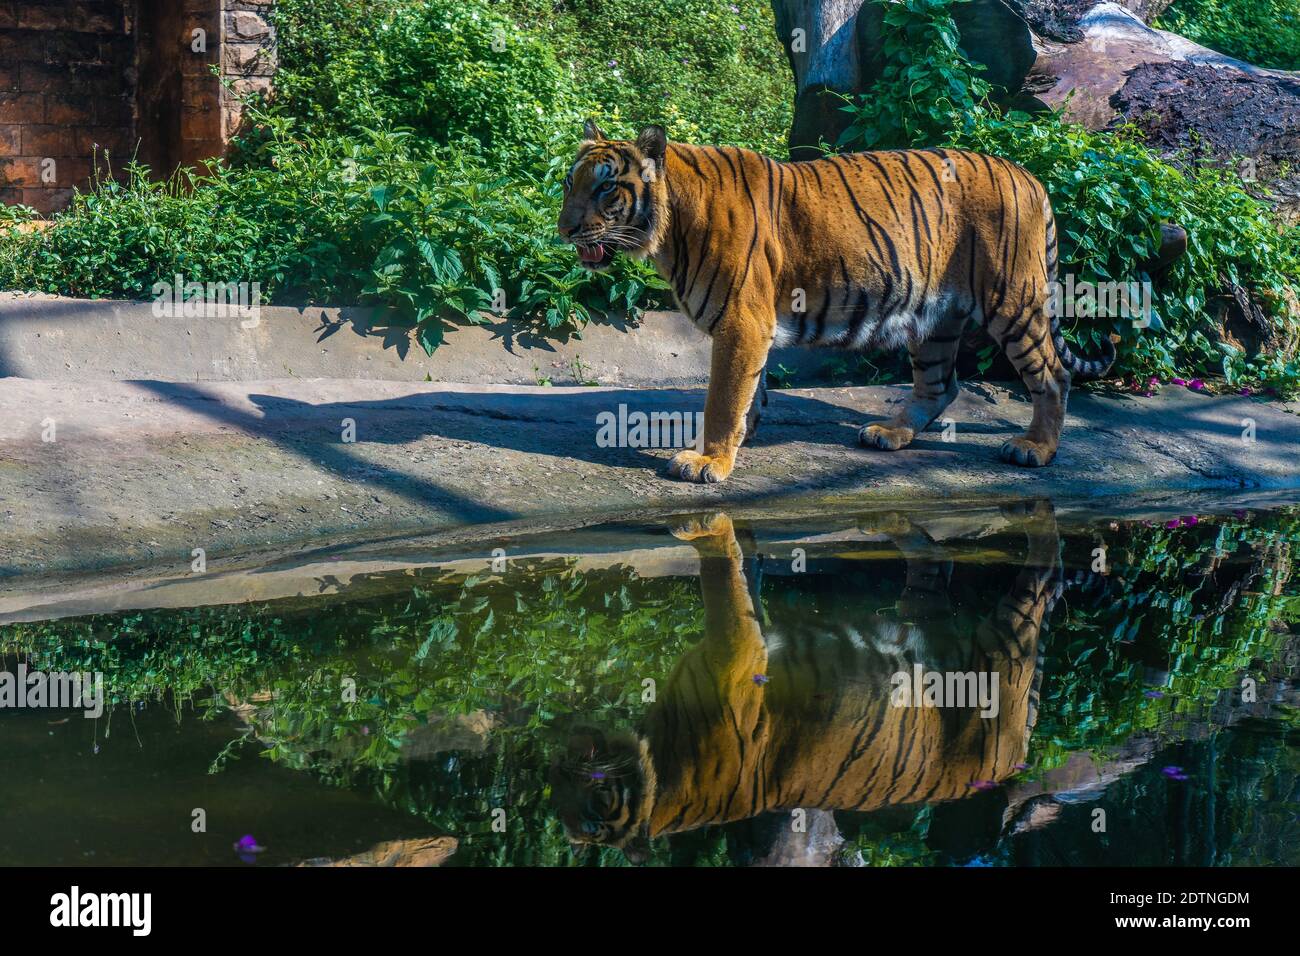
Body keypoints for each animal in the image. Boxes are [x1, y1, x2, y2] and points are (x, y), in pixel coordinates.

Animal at [549, 503, 1062, 863]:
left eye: (594, 812)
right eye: (560, 788)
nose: (572, 750)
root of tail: (1013, 762)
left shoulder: (734, 660)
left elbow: (724, 582)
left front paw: (705, 527)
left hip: (1006, 649)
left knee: (1040, 585)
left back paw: (1034, 515)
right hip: (931, 626)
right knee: (935, 569)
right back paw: (888, 519)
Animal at [556, 121, 1114, 483]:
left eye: (606, 187)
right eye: (568, 182)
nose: (565, 229)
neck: (667, 230)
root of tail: (1031, 176)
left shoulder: (741, 321)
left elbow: (723, 397)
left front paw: (709, 460)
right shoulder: (752, 325)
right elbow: (749, 390)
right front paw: (740, 440)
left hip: (1013, 302)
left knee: (1052, 375)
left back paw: (1035, 449)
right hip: (936, 318)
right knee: (940, 386)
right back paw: (889, 433)